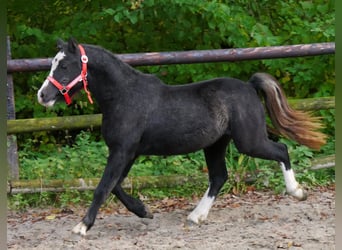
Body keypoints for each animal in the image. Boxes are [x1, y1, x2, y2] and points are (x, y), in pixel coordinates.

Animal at [37, 39, 326, 236]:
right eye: (53, 63)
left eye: (65, 65)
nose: (43, 95)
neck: (124, 97)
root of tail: (249, 86)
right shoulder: (128, 152)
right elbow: (115, 186)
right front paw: (144, 211)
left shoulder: (122, 151)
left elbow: (103, 187)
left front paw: (82, 226)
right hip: (216, 145)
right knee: (219, 176)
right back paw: (196, 216)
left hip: (249, 142)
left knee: (282, 150)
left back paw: (297, 192)